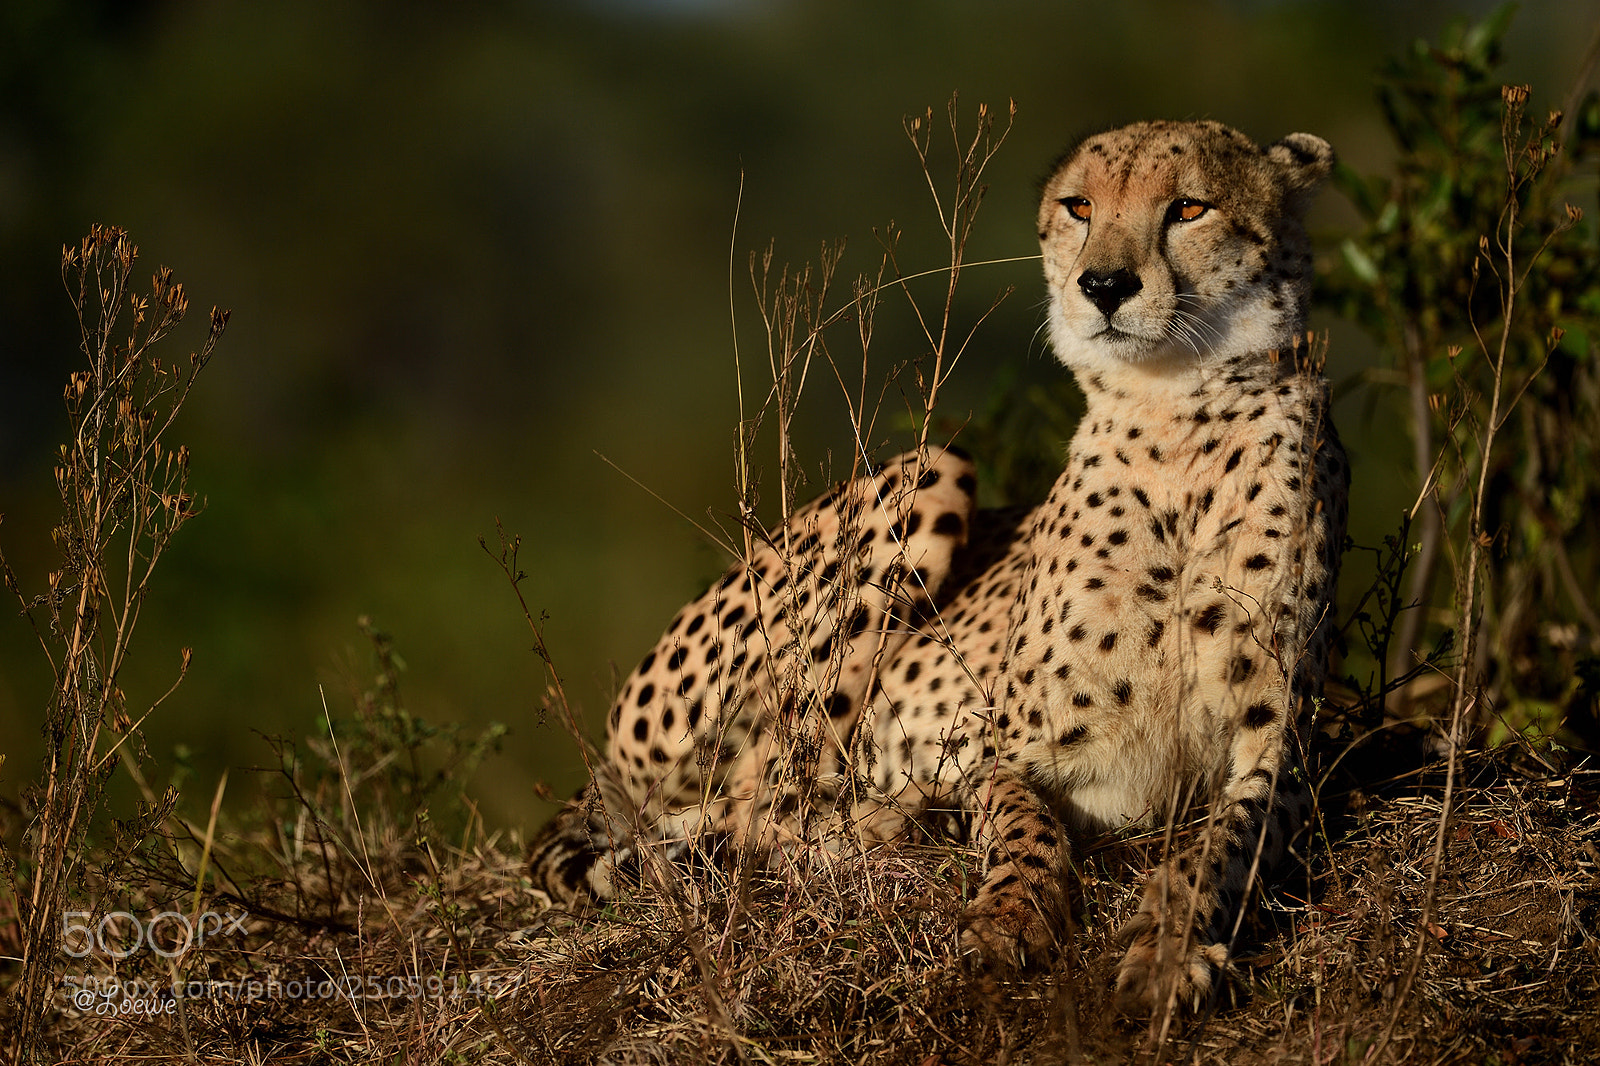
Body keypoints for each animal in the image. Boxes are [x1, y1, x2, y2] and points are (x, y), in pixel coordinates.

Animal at [529, 119, 1346, 1015]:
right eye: (1080, 207)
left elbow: (1221, 846)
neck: (1177, 417)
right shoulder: (1004, 746)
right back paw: (900, 821)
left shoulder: (1280, 750)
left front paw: (1169, 949)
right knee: (758, 802)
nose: (1103, 285)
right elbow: (1024, 824)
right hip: (932, 469)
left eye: (1189, 208)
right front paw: (1010, 916)